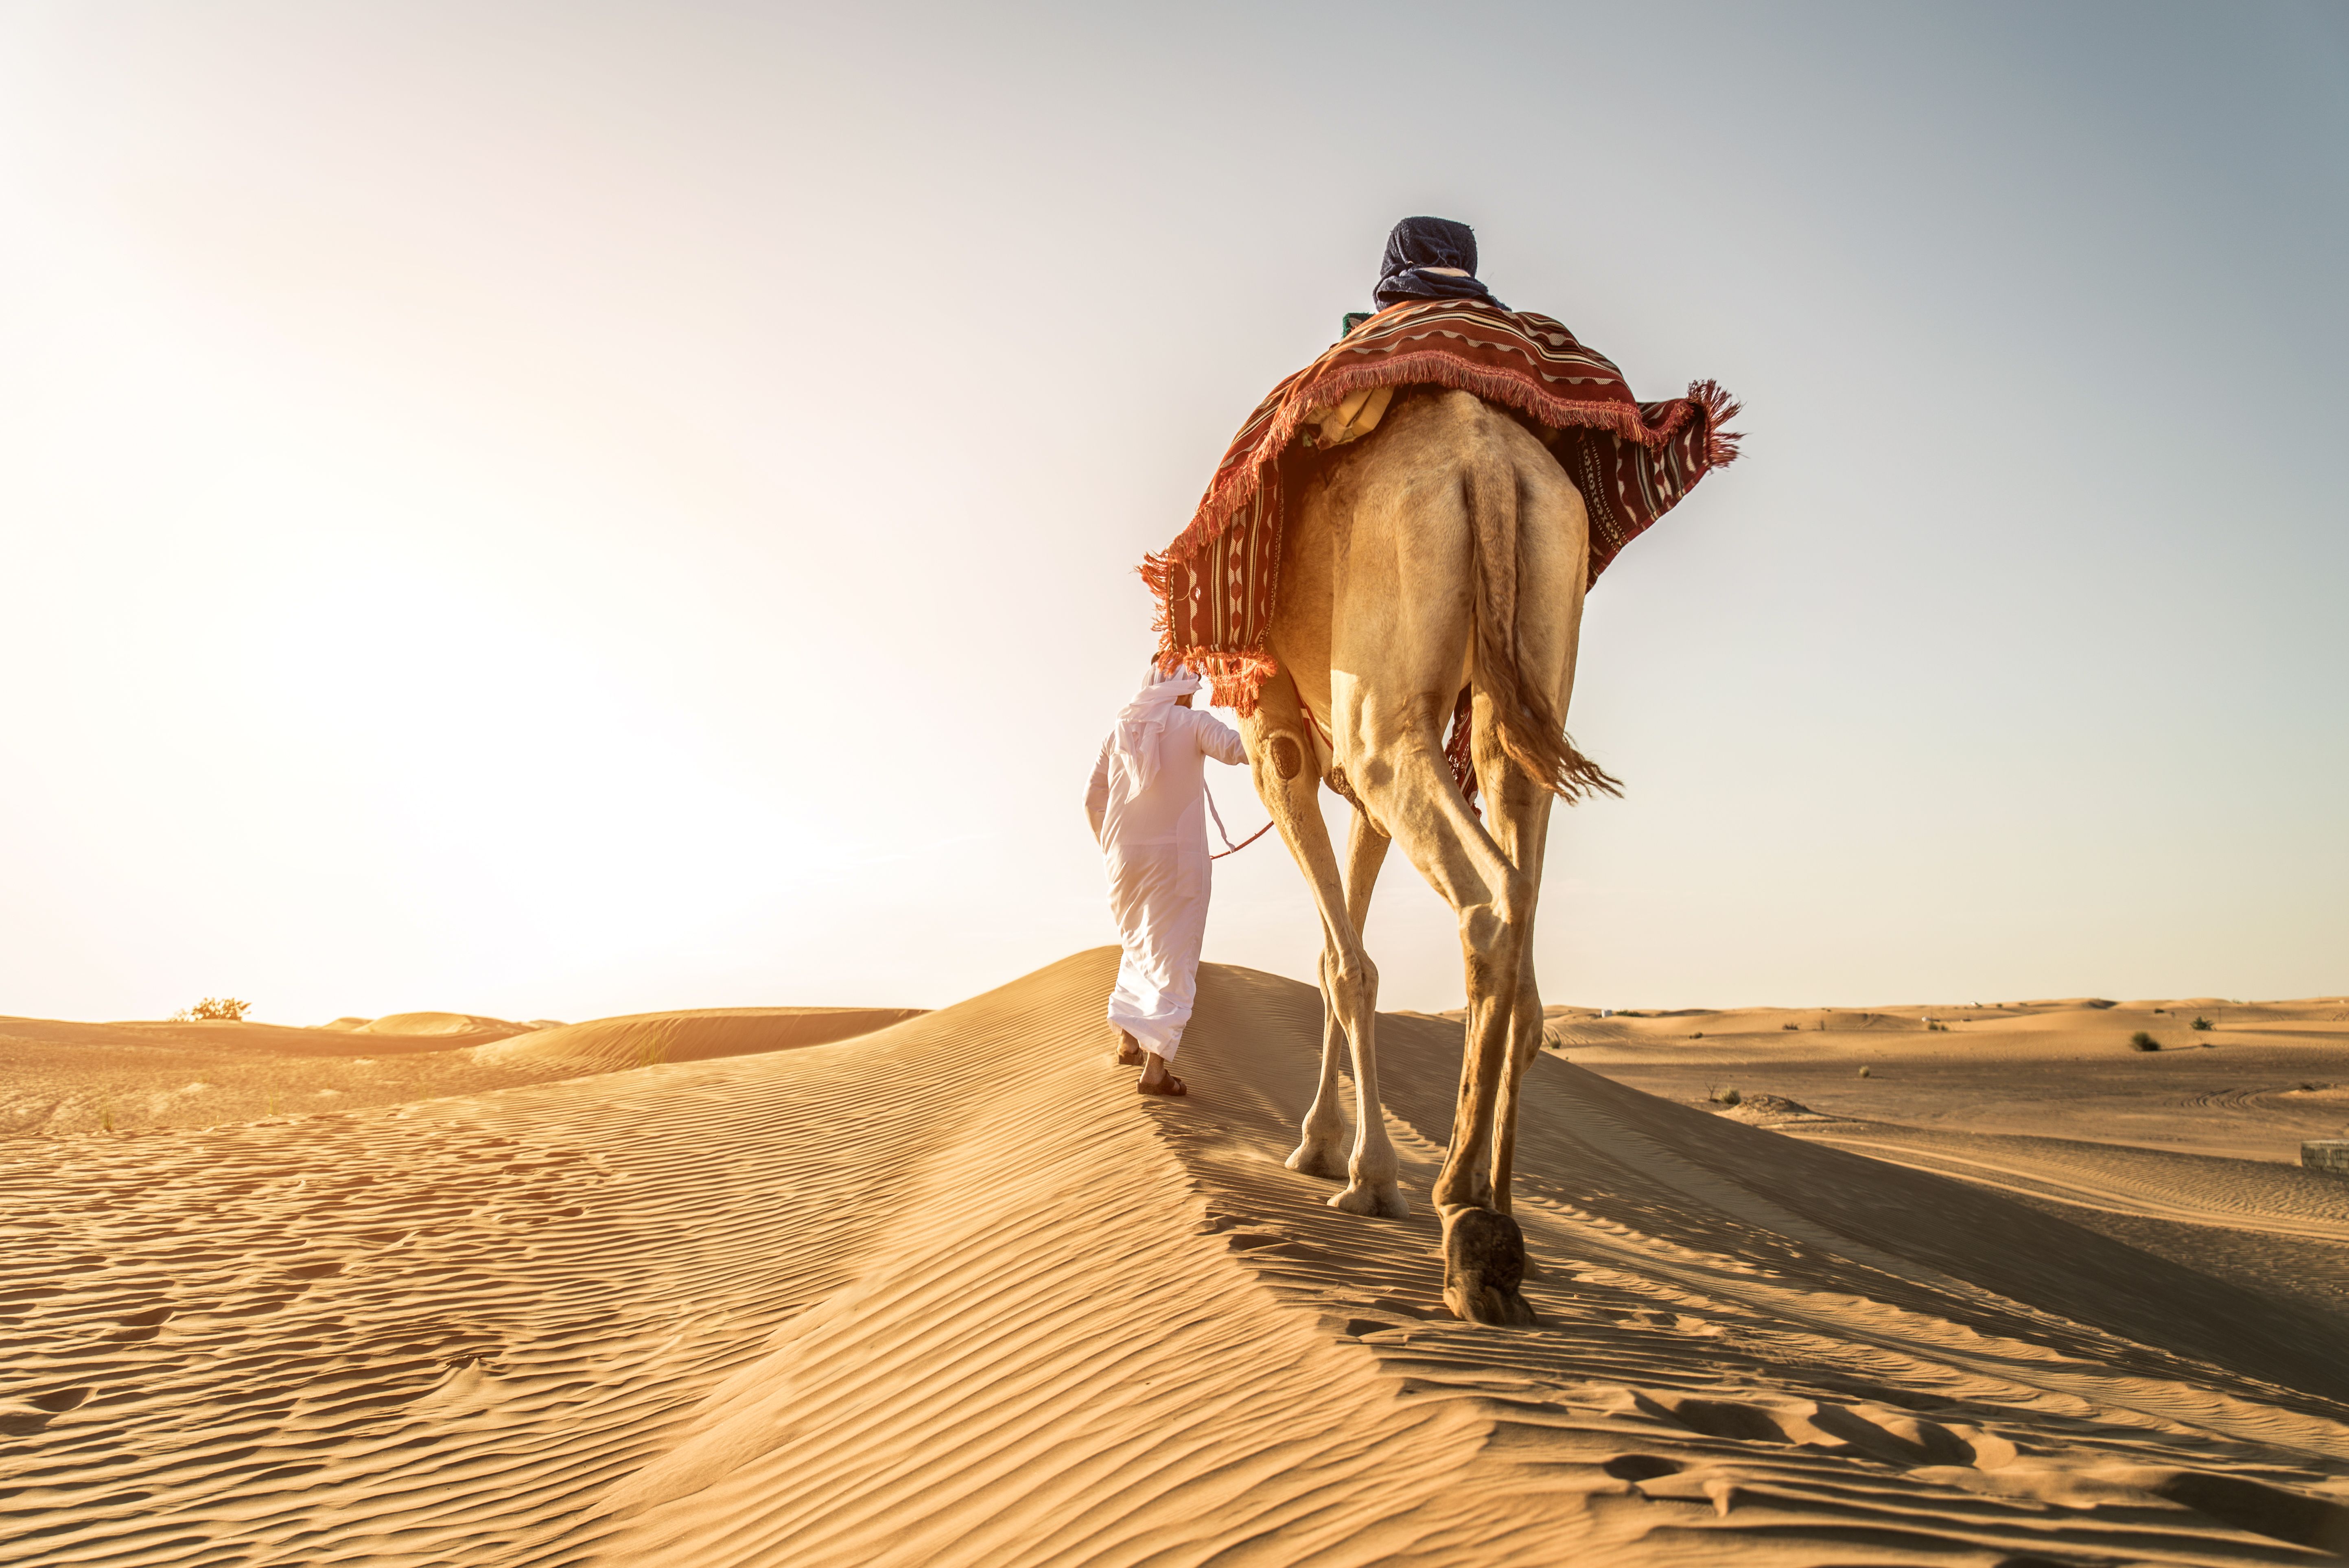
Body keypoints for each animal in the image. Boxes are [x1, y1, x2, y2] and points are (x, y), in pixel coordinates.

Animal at [1235, 387, 1616, 1327]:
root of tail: (1486, 462)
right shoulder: (1351, 777)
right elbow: (1339, 950)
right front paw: (1326, 1146)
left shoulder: (1277, 728)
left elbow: (1346, 964)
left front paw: (1359, 1172)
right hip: (1526, 670)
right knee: (1523, 894)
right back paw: (1503, 1213)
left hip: (1382, 709)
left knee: (1489, 900)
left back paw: (1466, 1217)